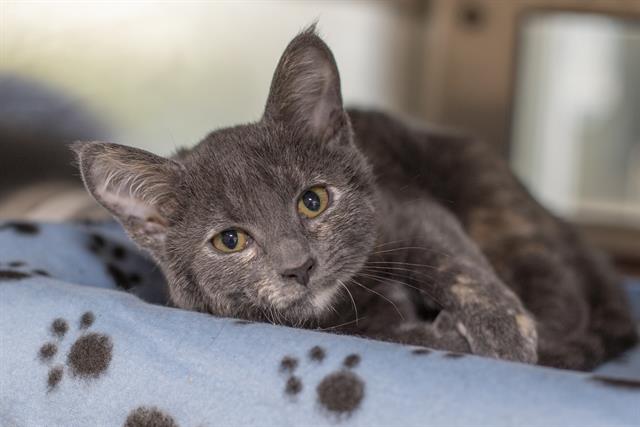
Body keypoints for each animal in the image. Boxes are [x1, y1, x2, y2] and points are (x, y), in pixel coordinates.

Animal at [72, 24, 636, 372]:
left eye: (313, 201)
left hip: (491, 196)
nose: (298, 266)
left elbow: (453, 263)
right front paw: (445, 337)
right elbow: (388, 337)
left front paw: (502, 333)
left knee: (559, 292)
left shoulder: (406, 210)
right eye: (229, 240)